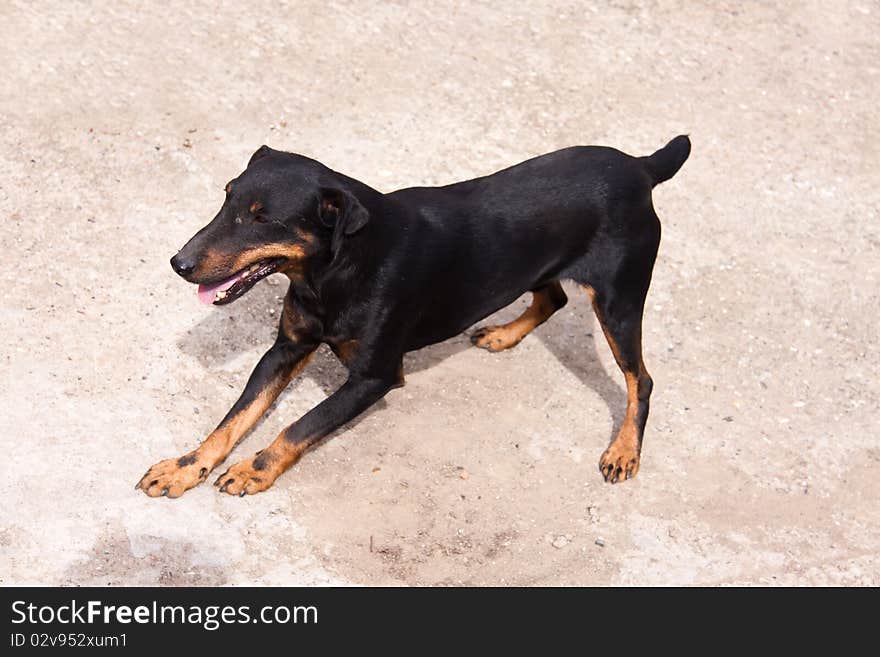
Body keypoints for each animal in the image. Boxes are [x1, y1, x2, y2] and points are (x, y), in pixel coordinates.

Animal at [136, 137, 688, 498]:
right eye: (226, 195)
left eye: (263, 218)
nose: (179, 263)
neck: (338, 268)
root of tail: (641, 167)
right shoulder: (286, 349)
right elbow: (233, 419)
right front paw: (185, 467)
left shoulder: (374, 378)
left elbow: (297, 426)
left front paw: (255, 469)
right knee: (553, 299)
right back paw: (504, 334)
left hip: (619, 300)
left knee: (641, 379)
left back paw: (624, 451)